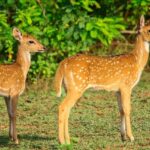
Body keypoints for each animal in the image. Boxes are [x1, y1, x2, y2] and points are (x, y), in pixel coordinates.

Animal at [54, 16, 150, 144]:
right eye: (149, 30)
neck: (136, 61)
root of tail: (63, 64)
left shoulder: (118, 90)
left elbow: (121, 110)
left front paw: (123, 136)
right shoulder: (126, 85)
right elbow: (127, 109)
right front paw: (131, 137)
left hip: (69, 88)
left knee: (67, 109)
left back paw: (68, 140)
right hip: (76, 87)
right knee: (62, 107)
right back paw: (62, 141)